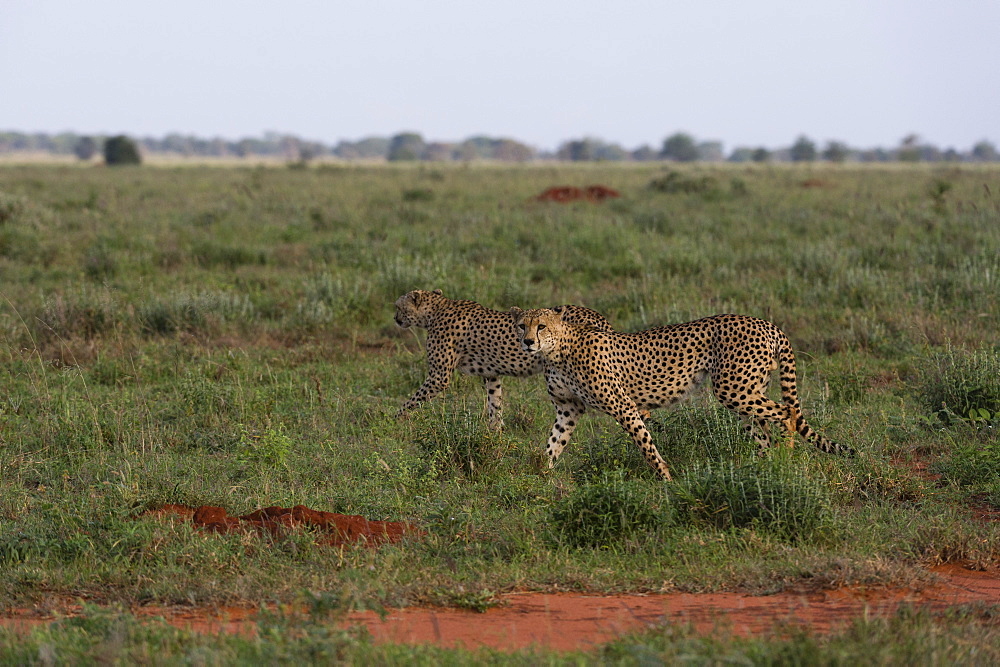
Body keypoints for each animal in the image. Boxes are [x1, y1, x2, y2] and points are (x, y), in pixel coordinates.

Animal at [394, 290, 612, 428]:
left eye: (397, 306)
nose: (395, 319)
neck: (436, 310)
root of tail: (597, 315)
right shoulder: (491, 374)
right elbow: (495, 403)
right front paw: (495, 432)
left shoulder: (439, 377)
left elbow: (412, 400)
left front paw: (393, 419)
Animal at [512, 308, 856, 480]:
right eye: (520, 325)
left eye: (541, 326)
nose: (528, 342)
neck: (557, 350)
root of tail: (766, 323)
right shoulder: (567, 409)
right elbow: (554, 444)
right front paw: (538, 477)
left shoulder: (623, 405)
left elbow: (645, 444)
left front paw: (666, 480)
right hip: (746, 391)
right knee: (764, 428)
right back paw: (764, 468)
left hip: (733, 388)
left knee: (786, 414)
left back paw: (785, 458)